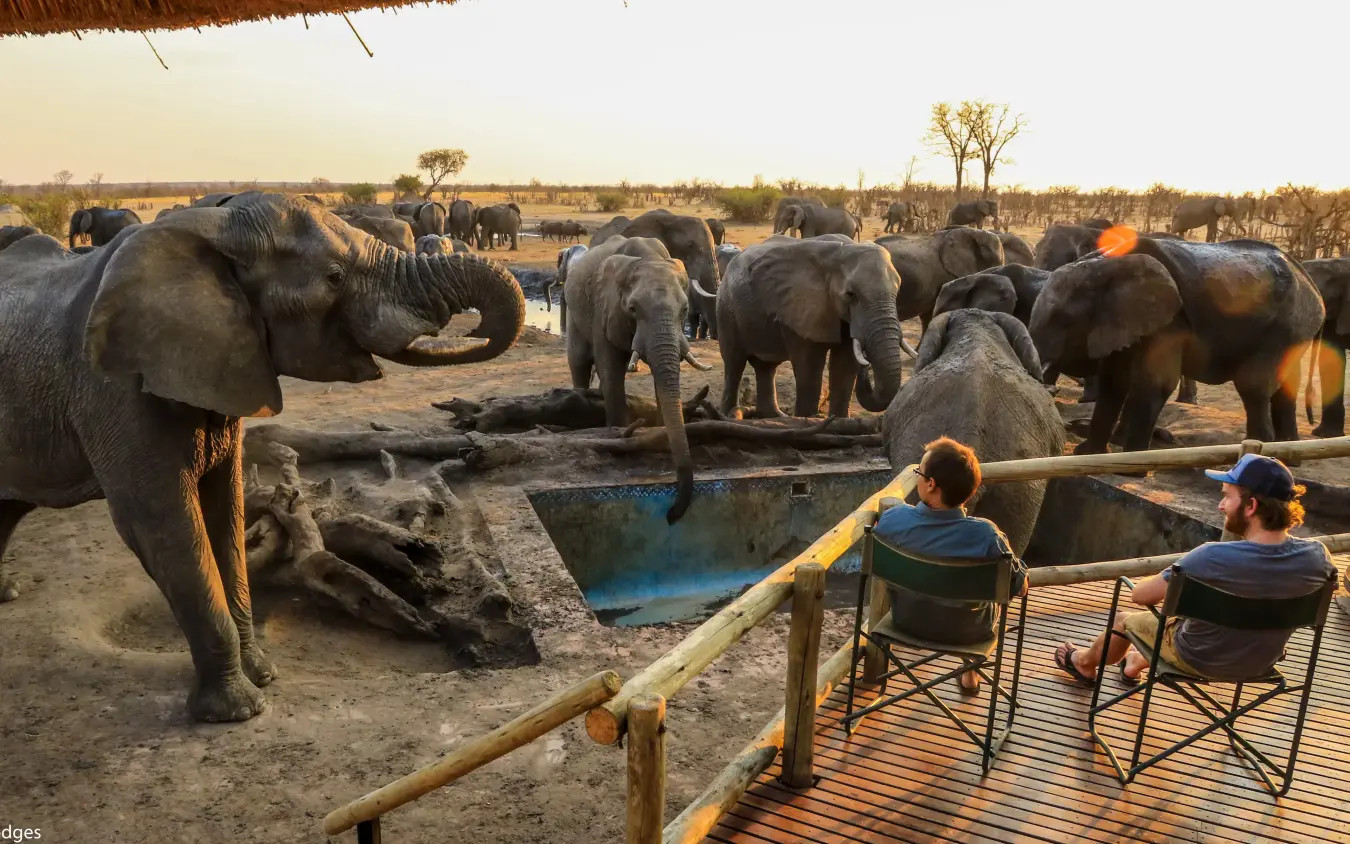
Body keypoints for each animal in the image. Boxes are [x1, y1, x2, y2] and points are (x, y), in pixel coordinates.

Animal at [0, 194, 526, 722]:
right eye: (334, 276)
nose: (478, 328)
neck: (210, 227)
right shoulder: (113, 389)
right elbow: (161, 521)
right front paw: (237, 710)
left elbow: (225, 510)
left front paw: (262, 674)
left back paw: (6, 594)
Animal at [564, 236, 712, 523]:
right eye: (632, 309)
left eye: (685, 309)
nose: (671, 514)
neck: (647, 258)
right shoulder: (603, 307)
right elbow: (610, 369)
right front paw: (620, 431)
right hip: (576, 313)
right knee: (579, 361)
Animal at [707, 236, 906, 420]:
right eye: (851, 295)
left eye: (898, 291)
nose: (867, 364)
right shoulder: (800, 305)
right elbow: (809, 367)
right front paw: (807, 421)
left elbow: (844, 367)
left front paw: (837, 422)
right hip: (726, 307)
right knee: (734, 362)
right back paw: (728, 416)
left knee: (766, 367)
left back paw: (774, 416)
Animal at [1029, 236, 1323, 454]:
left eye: (1065, 319)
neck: (1105, 262)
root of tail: (1309, 280)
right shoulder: (1122, 321)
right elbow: (1114, 381)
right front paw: (1089, 454)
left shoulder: (1171, 321)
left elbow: (1154, 382)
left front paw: (1131, 464)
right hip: (1294, 331)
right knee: (1285, 386)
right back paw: (1288, 455)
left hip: (1285, 327)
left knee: (1254, 384)